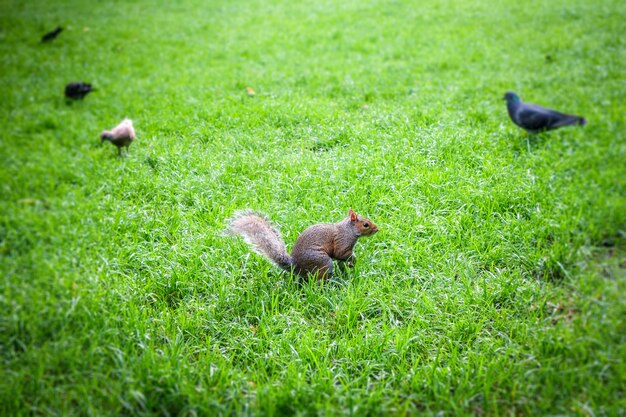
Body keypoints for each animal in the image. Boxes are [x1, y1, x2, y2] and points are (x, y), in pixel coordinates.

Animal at [227, 208, 378, 280]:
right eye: (365, 224)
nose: (377, 229)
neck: (349, 230)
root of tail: (295, 266)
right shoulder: (342, 242)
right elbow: (341, 254)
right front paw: (354, 260)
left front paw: (348, 267)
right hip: (322, 262)